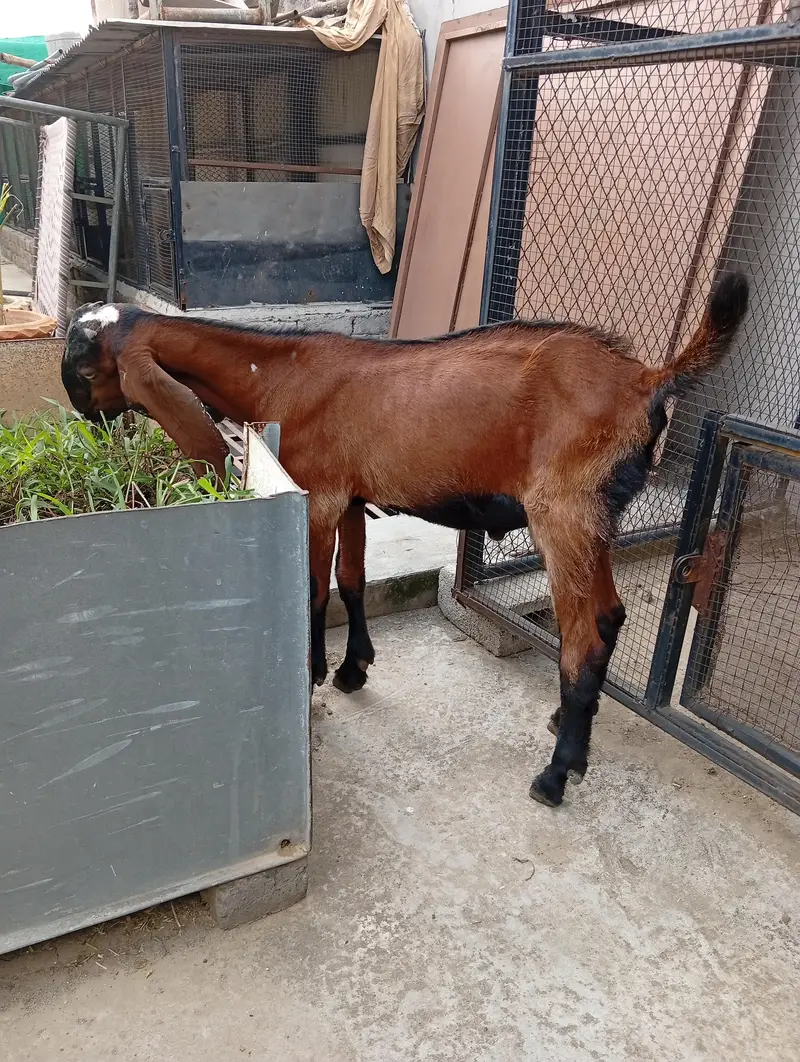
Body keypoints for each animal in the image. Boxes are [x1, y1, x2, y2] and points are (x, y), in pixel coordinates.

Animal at [61, 274, 748, 807]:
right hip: (595, 519)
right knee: (610, 617)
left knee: (585, 630)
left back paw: (556, 773)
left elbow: (313, 589)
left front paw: (314, 673)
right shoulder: (351, 499)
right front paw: (353, 669)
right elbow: (351, 582)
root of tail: (648, 379)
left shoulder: (319, 494)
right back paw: (567, 726)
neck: (278, 375)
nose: (86, 420)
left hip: (564, 513)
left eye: (83, 362)